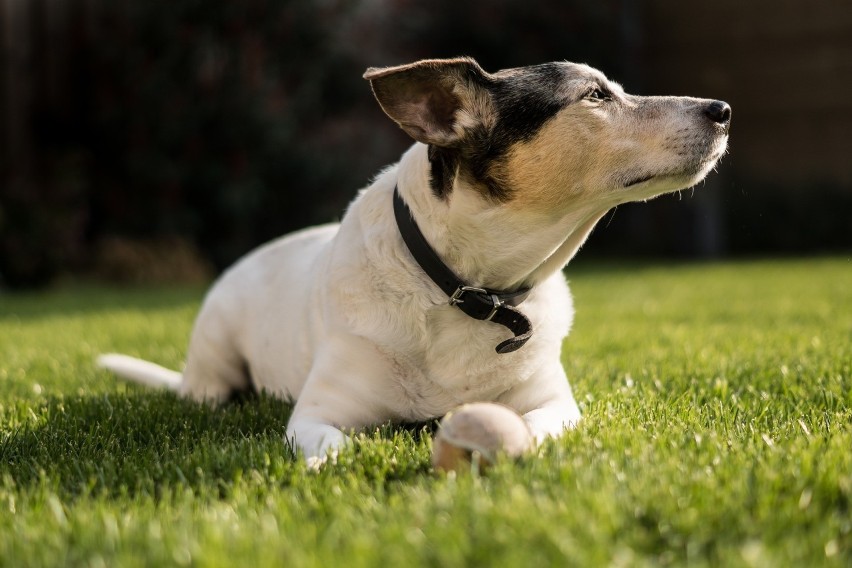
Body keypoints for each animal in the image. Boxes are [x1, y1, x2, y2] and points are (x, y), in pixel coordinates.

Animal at [98, 57, 724, 466]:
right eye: (595, 96)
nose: (722, 108)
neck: (470, 291)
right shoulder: (315, 414)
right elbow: (330, 446)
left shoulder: (555, 403)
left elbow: (532, 424)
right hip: (214, 361)